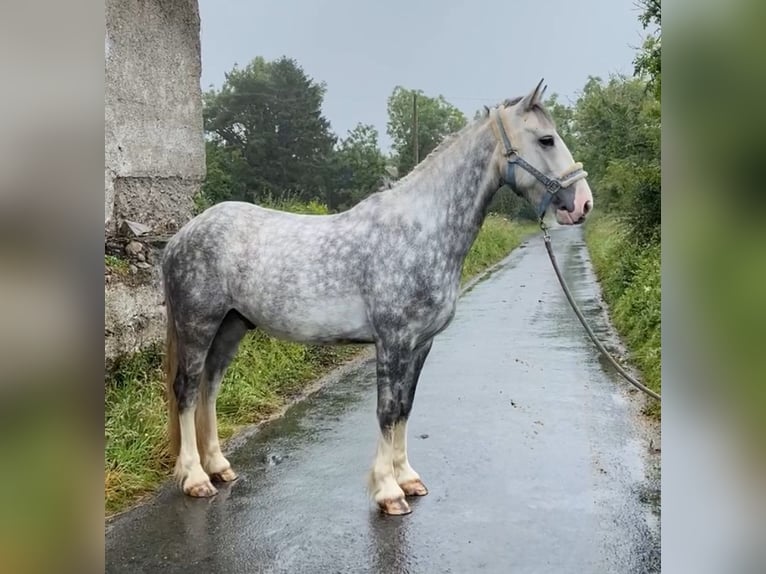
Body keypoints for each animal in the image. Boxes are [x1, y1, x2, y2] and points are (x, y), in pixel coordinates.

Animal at [162, 80, 592, 516]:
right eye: (546, 139)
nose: (582, 204)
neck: (420, 230)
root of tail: (181, 236)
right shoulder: (393, 340)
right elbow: (387, 410)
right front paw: (388, 491)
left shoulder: (420, 344)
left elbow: (405, 407)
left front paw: (408, 479)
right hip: (198, 325)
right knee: (187, 390)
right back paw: (196, 479)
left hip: (231, 326)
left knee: (209, 387)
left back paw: (219, 467)